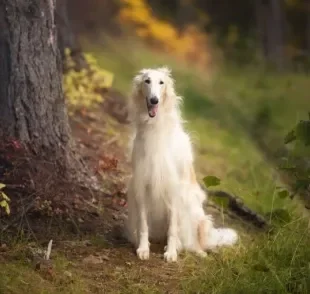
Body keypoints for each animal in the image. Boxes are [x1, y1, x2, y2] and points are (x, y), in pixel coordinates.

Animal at [125, 67, 237, 262]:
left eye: (161, 82)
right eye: (147, 81)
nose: (154, 100)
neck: (156, 128)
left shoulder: (175, 187)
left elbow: (173, 228)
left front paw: (171, 253)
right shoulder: (141, 184)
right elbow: (144, 225)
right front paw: (143, 248)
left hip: (194, 212)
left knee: (193, 241)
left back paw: (194, 250)